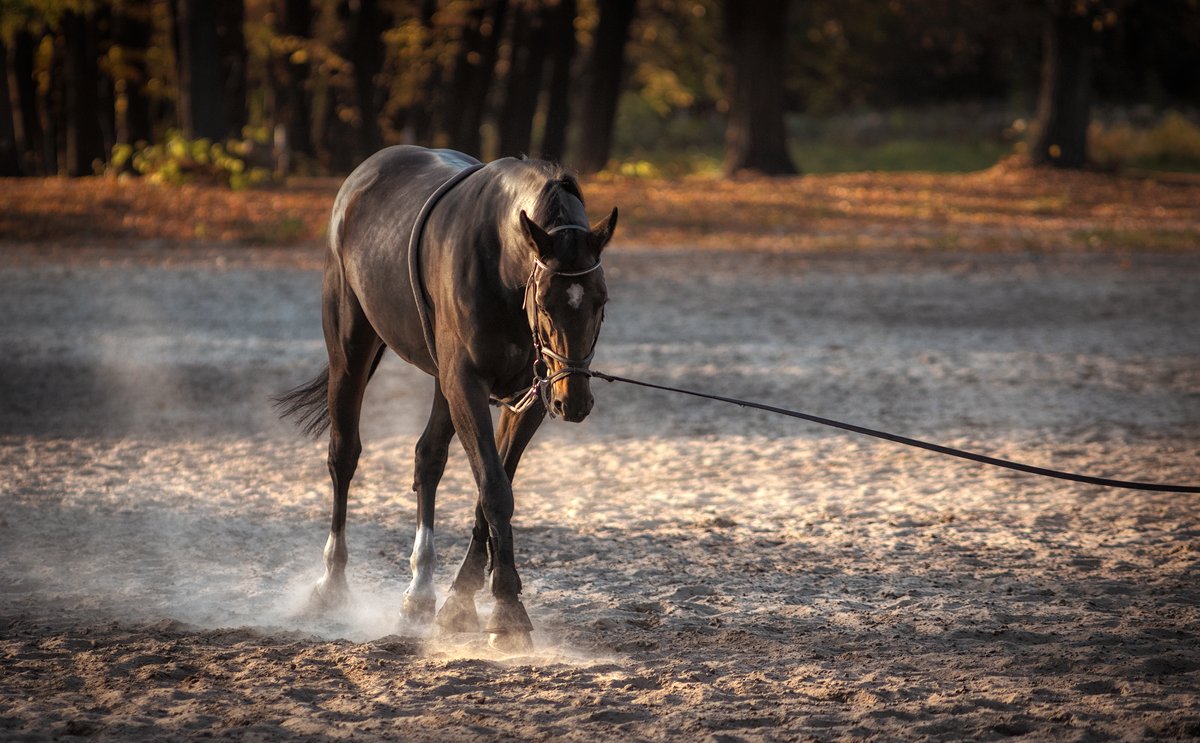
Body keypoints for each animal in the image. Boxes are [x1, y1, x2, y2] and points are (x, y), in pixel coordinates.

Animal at [273, 145, 619, 652]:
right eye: (544, 301)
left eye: (601, 300)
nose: (572, 401)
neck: (500, 260)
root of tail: (366, 171)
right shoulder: (467, 385)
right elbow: (494, 489)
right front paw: (508, 612)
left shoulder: (528, 397)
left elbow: (490, 490)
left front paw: (461, 602)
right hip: (351, 350)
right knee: (344, 455)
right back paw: (332, 583)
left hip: (442, 382)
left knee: (428, 458)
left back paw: (419, 593)